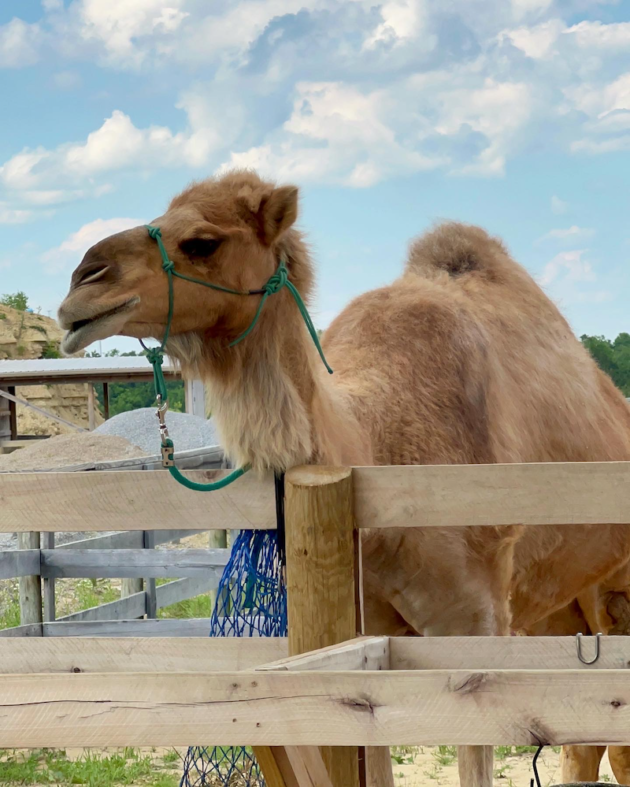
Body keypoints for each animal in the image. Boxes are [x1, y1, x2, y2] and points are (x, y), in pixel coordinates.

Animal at [58, 172, 630, 787]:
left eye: (203, 241)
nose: (81, 285)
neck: (378, 453)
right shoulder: (373, 639)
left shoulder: (478, 624)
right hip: (555, 605)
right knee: (584, 742)